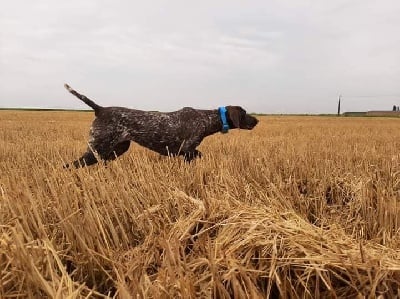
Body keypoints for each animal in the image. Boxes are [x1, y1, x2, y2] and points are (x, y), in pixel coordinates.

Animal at [62, 84, 256, 169]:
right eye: (245, 112)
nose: (257, 121)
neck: (205, 118)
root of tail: (100, 109)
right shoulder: (186, 150)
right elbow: (197, 154)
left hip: (115, 149)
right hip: (98, 148)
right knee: (70, 166)